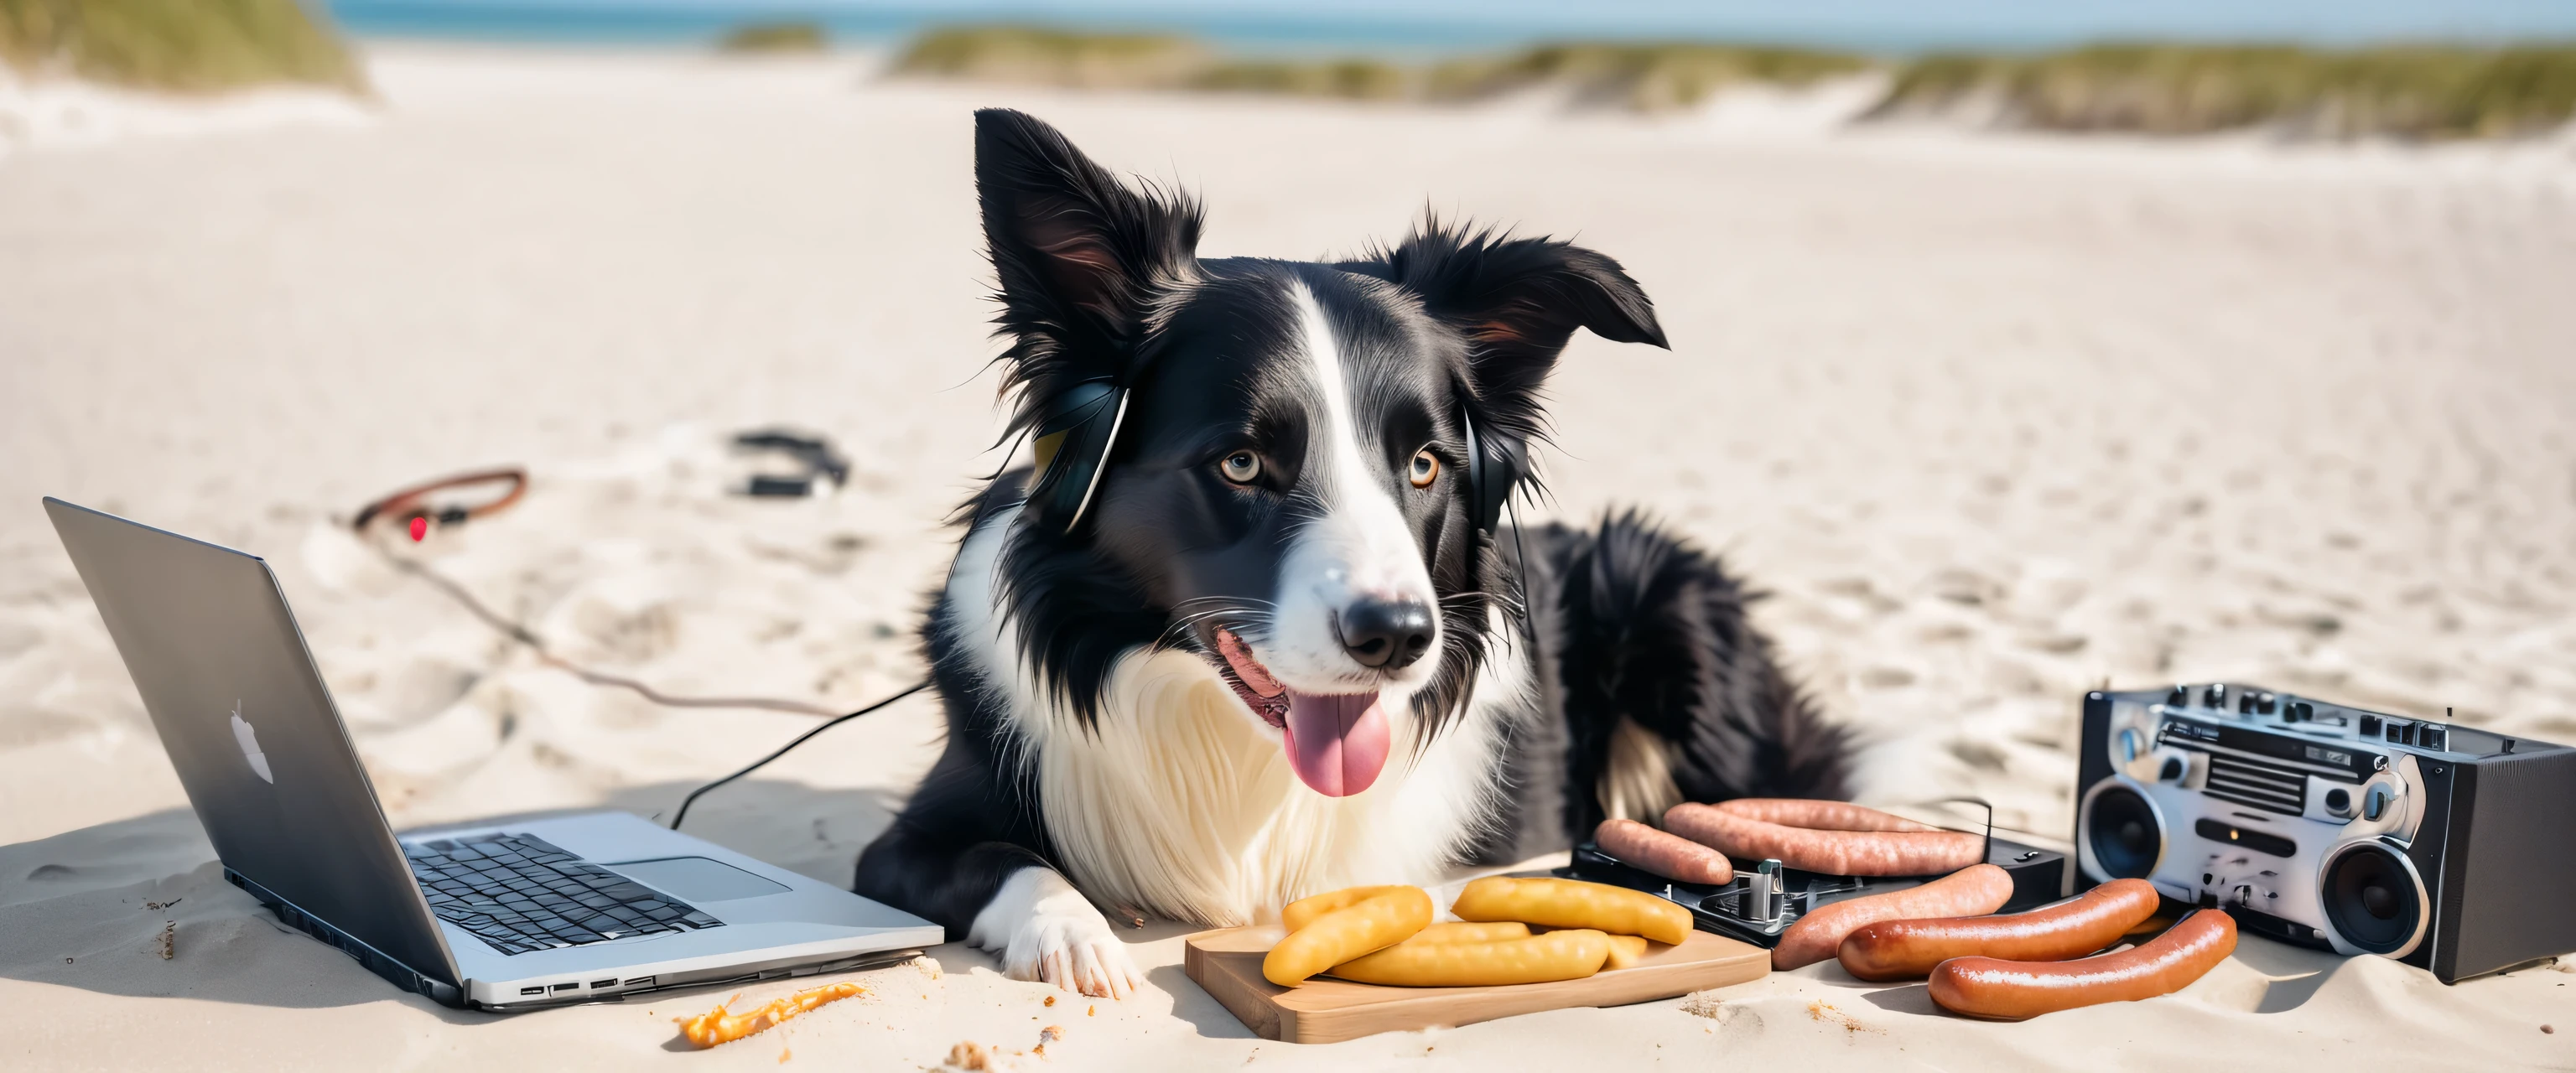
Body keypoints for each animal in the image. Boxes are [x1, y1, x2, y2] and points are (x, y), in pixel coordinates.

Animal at [854, 110, 1844, 993]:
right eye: (1241, 462)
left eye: (1423, 464)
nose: (1398, 637)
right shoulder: (903, 845)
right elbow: (1010, 860)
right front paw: (1074, 934)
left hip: (1663, 603)